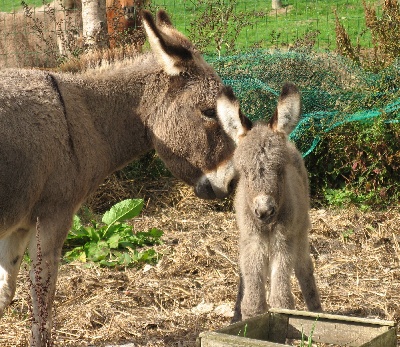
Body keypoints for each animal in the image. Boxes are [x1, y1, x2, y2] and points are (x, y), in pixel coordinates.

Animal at [231, 83, 322, 322]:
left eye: (280, 169)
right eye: (244, 172)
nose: (264, 211)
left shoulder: (284, 240)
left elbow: (281, 299)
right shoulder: (251, 240)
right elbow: (253, 298)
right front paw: (247, 319)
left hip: (300, 229)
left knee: (303, 266)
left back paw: (317, 312)